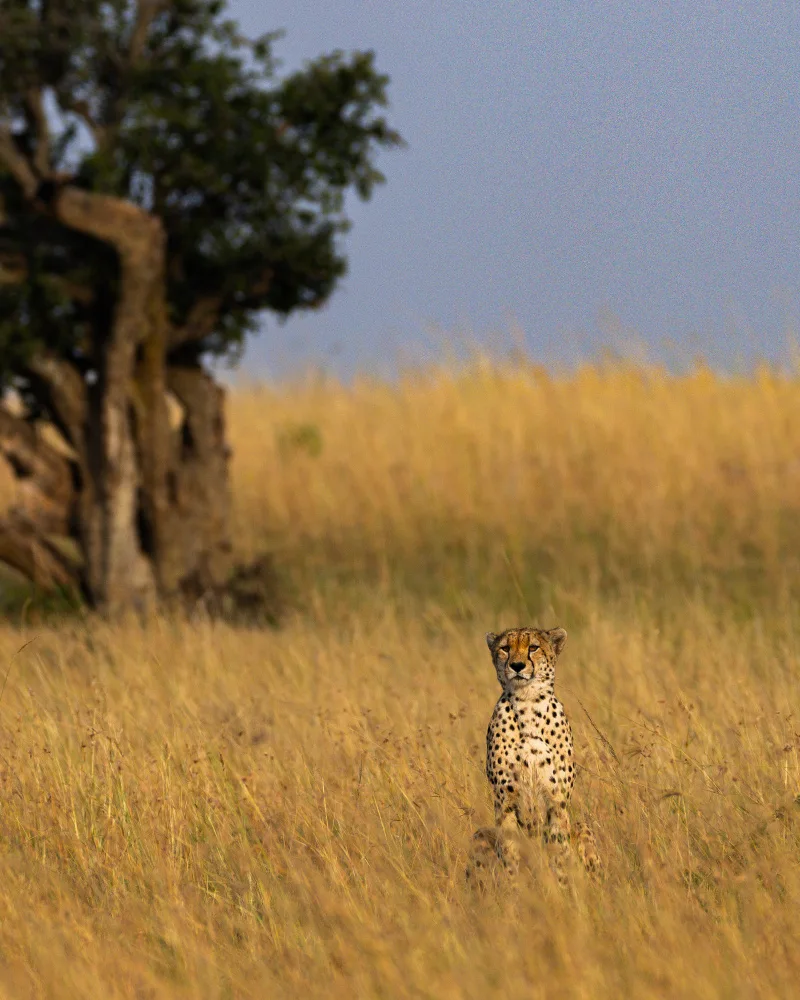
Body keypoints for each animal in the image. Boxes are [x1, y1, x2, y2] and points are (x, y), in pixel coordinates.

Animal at [466, 626, 600, 887]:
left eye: (533, 647)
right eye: (505, 648)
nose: (517, 665)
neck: (527, 702)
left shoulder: (556, 798)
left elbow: (558, 848)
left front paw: (560, 885)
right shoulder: (505, 799)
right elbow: (510, 850)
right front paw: (514, 887)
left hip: (582, 827)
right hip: (480, 834)